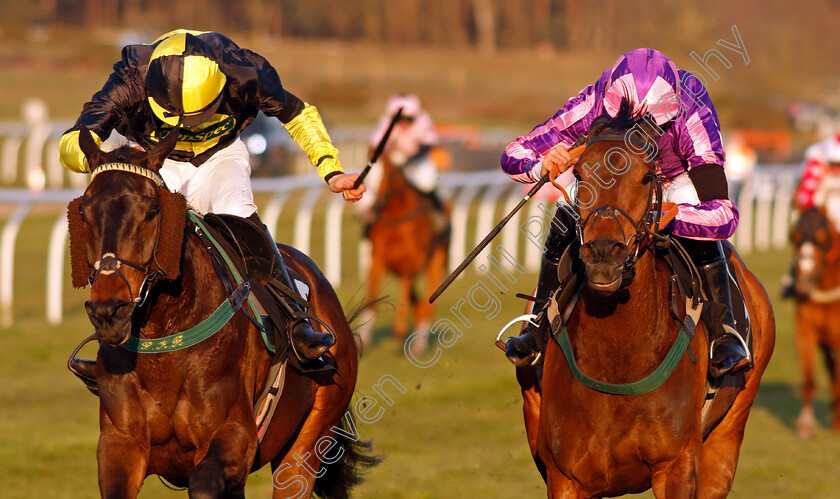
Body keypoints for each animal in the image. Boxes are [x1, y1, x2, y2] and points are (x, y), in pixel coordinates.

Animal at [67, 128, 376, 499]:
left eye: (153, 210)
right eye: (83, 212)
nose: (109, 310)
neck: (165, 334)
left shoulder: (235, 434)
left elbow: (204, 481)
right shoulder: (120, 443)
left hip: (308, 440)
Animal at [362, 154, 450, 354]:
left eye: (386, 175)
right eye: (367, 177)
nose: (369, 212)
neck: (396, 218)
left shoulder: (412, 262)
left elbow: (405, 290)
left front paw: (400, 331)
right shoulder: (377, 258)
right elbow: (372, 293)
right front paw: (364, 336)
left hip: (438, 261)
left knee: (428, 303)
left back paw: (420, 341)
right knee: (418, 300)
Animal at [516, 106, 776, 499]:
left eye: (646, 177)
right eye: (578, 173)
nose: (604, 256)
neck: (619, 358)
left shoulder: (677, 467)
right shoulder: (565, 477)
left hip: (728, 435)